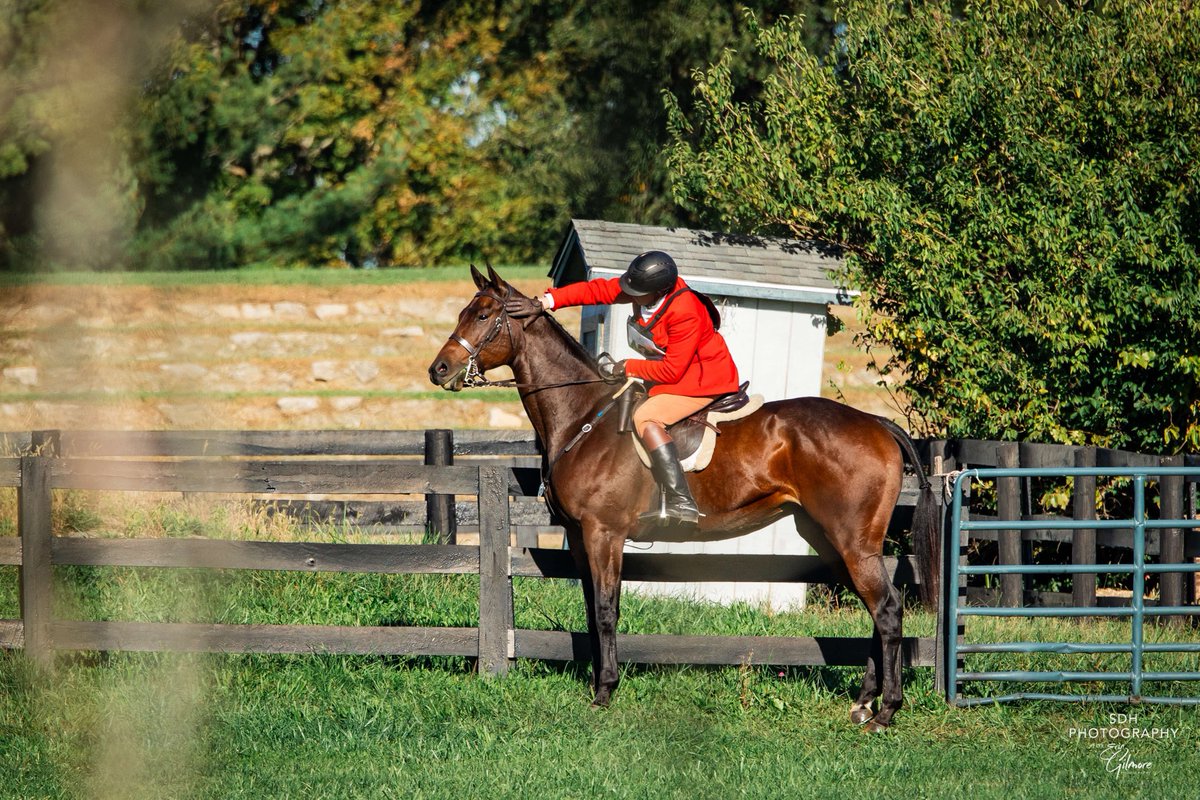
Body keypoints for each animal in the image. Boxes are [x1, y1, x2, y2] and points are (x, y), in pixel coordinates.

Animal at [428, 265, 939, 732]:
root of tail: (876, 425)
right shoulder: (580, 539)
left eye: (483, 315)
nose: (439, 370)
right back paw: (864, 703)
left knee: (887, 609)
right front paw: (598, 681)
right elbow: (592, 611)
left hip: (852, 541)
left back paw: (885, 712)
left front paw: (604, 692)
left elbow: (607, 611)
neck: (582, 416)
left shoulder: (604, 533)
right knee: (876, 609)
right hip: (832, 541)